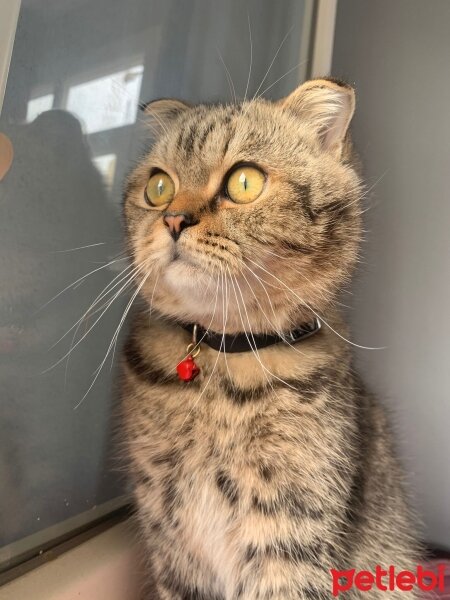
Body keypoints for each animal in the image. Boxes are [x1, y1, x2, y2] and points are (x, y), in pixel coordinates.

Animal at [119, 79, 418, 600]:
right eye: (158, 187)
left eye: (244, 182)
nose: (173, 219)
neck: (222, 364)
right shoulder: (169, 536)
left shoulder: (291, 534)